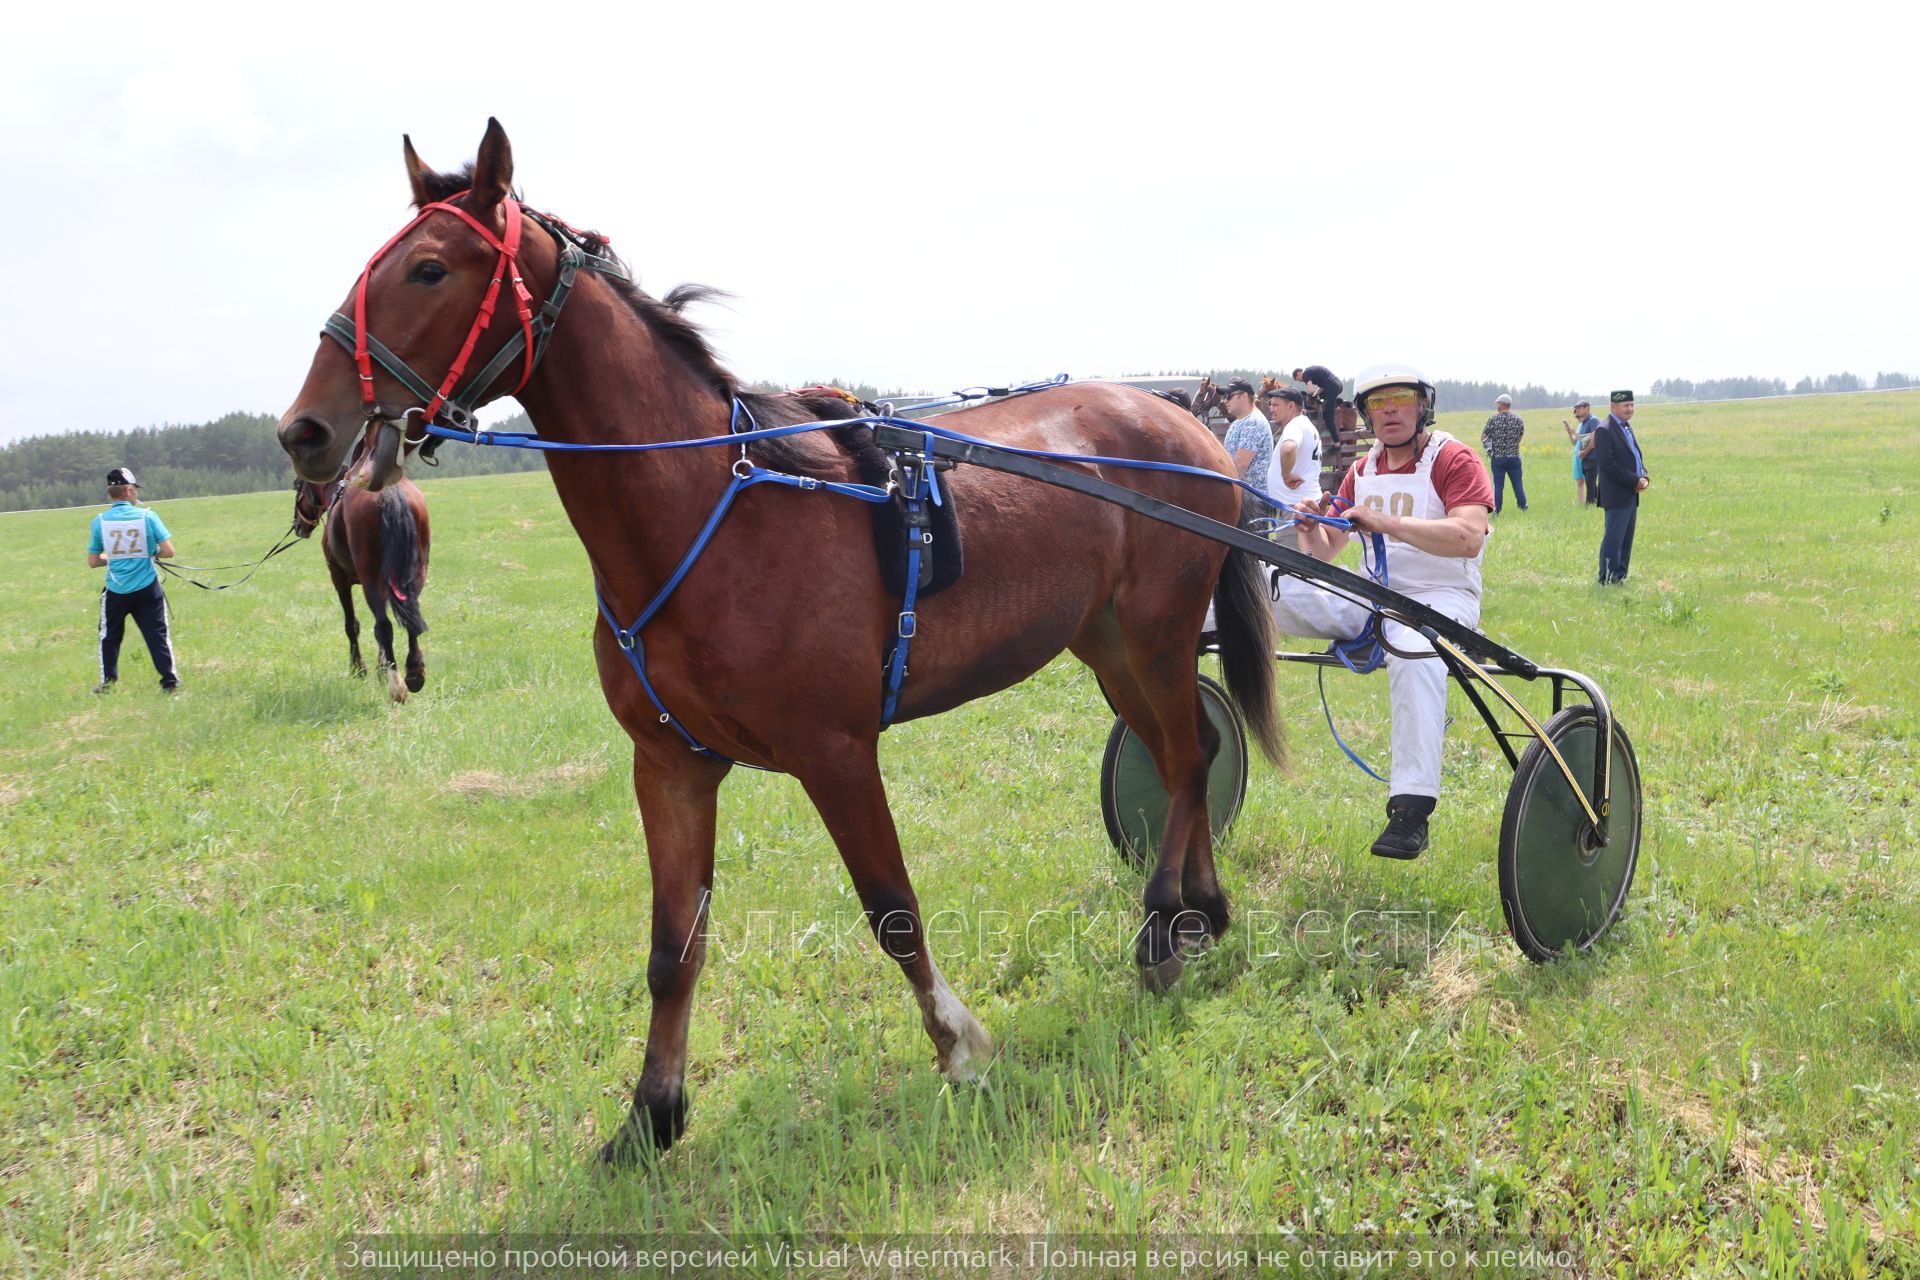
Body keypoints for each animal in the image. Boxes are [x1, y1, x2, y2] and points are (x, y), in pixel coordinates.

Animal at [291, 460, 432, 702]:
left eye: (297, 485)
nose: (298, 525)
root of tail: (388, 492)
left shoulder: (339, 579)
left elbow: (352, 625)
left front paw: (359, 668)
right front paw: (381, 667)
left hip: (370, 579)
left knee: (383, 626)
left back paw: (397, 686)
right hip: (414, 574)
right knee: (410, 621)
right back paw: (414, 673)